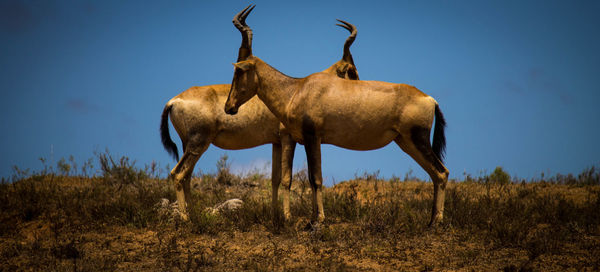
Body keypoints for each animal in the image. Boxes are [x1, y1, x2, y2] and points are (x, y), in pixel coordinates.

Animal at [157, 4, 360, 221]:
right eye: (352, 71)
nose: (229, 107)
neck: (293, 89)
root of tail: (174, 100)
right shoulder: (288, 138)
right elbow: (287, 178)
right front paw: (288, 217)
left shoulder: (276, 142)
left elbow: (275, 179)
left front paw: (275, 215)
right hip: (198, 143)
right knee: (178, 173)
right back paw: (186, 218)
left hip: (189, 144)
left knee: (186, 176)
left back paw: (193, 215)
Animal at [226, 6, 450, 227]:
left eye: (238, 71)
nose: (229, 107)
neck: (297, 89)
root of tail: (430, 99)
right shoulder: (304, 140)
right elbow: (309, 178)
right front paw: (312, 219)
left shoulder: (312, 137)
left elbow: (316, 178)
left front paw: (319, 220)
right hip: (405, 142)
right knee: (435, 174)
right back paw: (431, 221)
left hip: (418, 139)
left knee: (441, 172)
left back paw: (436, 222)